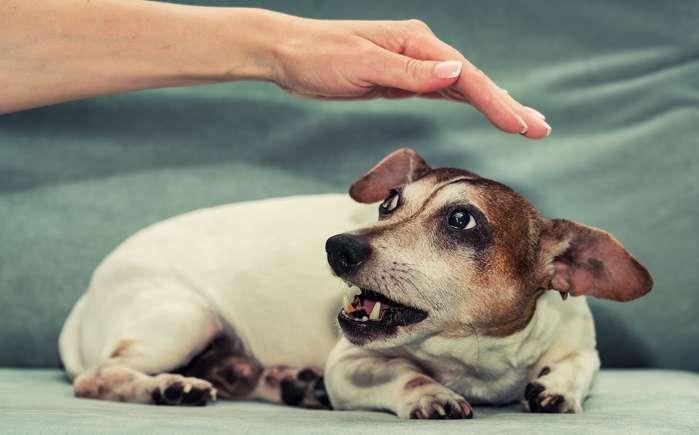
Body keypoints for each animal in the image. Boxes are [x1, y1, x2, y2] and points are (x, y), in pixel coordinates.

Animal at [57, 149, 652, 418]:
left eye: (462, 220)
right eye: (390, 202)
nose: (338, 246)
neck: (474, 357)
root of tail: (85, 296)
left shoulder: (580, 346)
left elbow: (577, 367)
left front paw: (557, 388)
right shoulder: (351, 364)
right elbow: (407, 376)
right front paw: (430, 393)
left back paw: (289, 383)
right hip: (183, 317)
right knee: (100, 376)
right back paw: (169, 387)